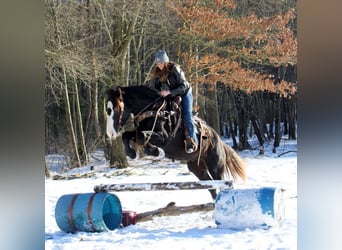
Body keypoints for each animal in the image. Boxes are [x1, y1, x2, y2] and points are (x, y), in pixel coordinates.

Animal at [106, 85, 246, 199]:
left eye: (114, 109)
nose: (110, 133)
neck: (155, 111)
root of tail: (218, 140)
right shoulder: (139, 131)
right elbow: (127, 136)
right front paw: (132, 153)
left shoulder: (164, 138)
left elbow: (142, 136)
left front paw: (156, 151)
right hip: (197, 168)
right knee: (211, 187)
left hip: (216, 167)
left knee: (220, 183)